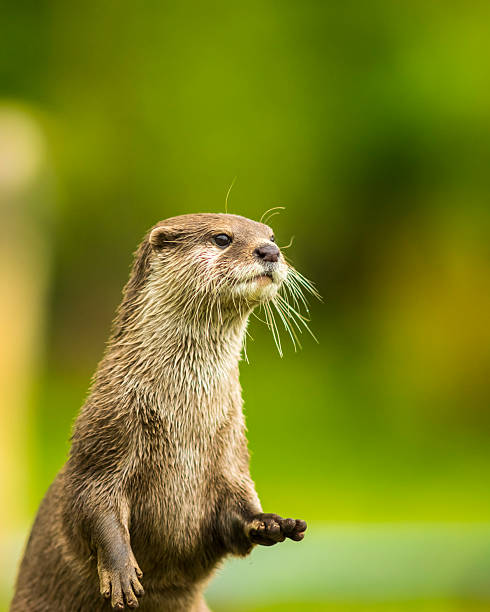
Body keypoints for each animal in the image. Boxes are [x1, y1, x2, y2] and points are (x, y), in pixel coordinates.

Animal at [11, 213, 314, 608]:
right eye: (222, 238)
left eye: (272, 236)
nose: (270, 251)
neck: (185, 422)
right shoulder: (106, 435)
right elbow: (93, 503)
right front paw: (121, 572)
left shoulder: (232, 449)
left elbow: (236, 516)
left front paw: (269, 522)